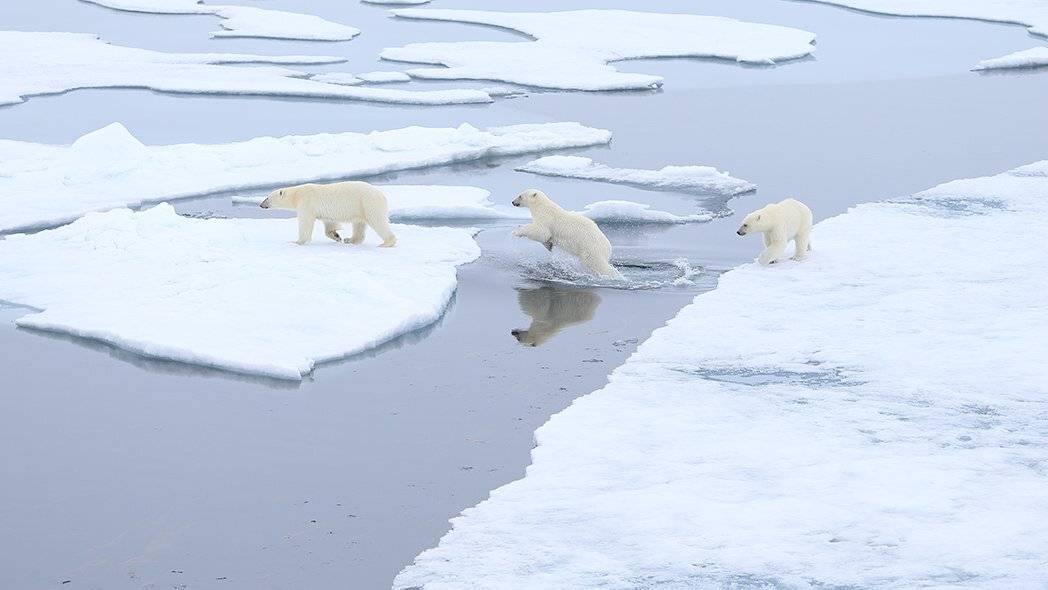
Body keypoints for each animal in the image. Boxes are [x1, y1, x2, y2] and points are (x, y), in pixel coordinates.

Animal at [259, 181, 397, 247]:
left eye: (267, 197)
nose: (261, 205)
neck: (297, 195)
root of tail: (382, 195)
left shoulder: (306, 203)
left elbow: (305, 222)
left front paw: (297, 242)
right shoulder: (323, 212)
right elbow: (329, 223)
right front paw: (337, 236)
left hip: (368, 203)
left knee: (378, 221)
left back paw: (386, 243)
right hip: (360, 208)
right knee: (359, 224)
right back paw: (350, 240)